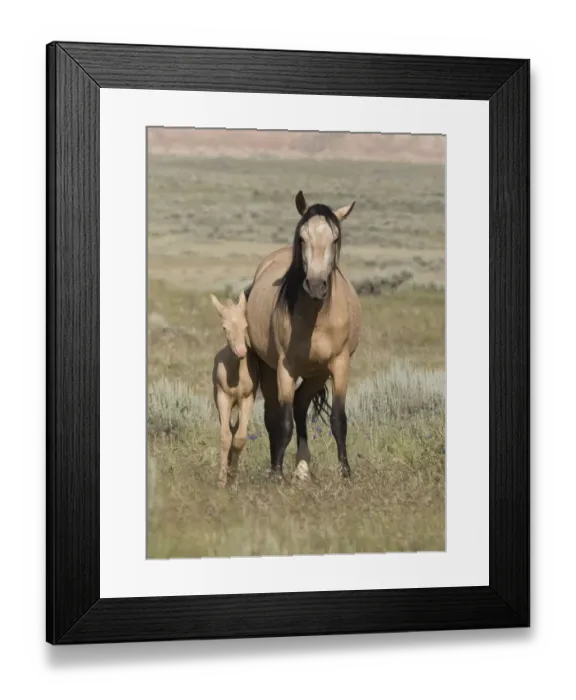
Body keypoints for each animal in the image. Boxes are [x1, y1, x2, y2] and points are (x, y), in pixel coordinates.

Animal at [210, 291, 259, 487]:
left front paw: (234, 480)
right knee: (229, 430)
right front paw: (221, 481)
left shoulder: (247, 399)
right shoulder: (223, 397)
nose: (241, 352)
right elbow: (225, 437)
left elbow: (239, 438)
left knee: (236, 430)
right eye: (225, 328)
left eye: (246, 325)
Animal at [245, 190, 362, 480]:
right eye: (302, 238)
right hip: (270, 369)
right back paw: (279, 466)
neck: (316, 319)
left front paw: (345, 472)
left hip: (317, 373)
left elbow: (338, 420)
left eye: (335, 238)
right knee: (274, 414)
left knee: (299, 405)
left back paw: (302, 468)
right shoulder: (285, 368)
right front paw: (277, 474)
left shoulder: (340, 364)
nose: (316, 285)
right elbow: (283, 421)